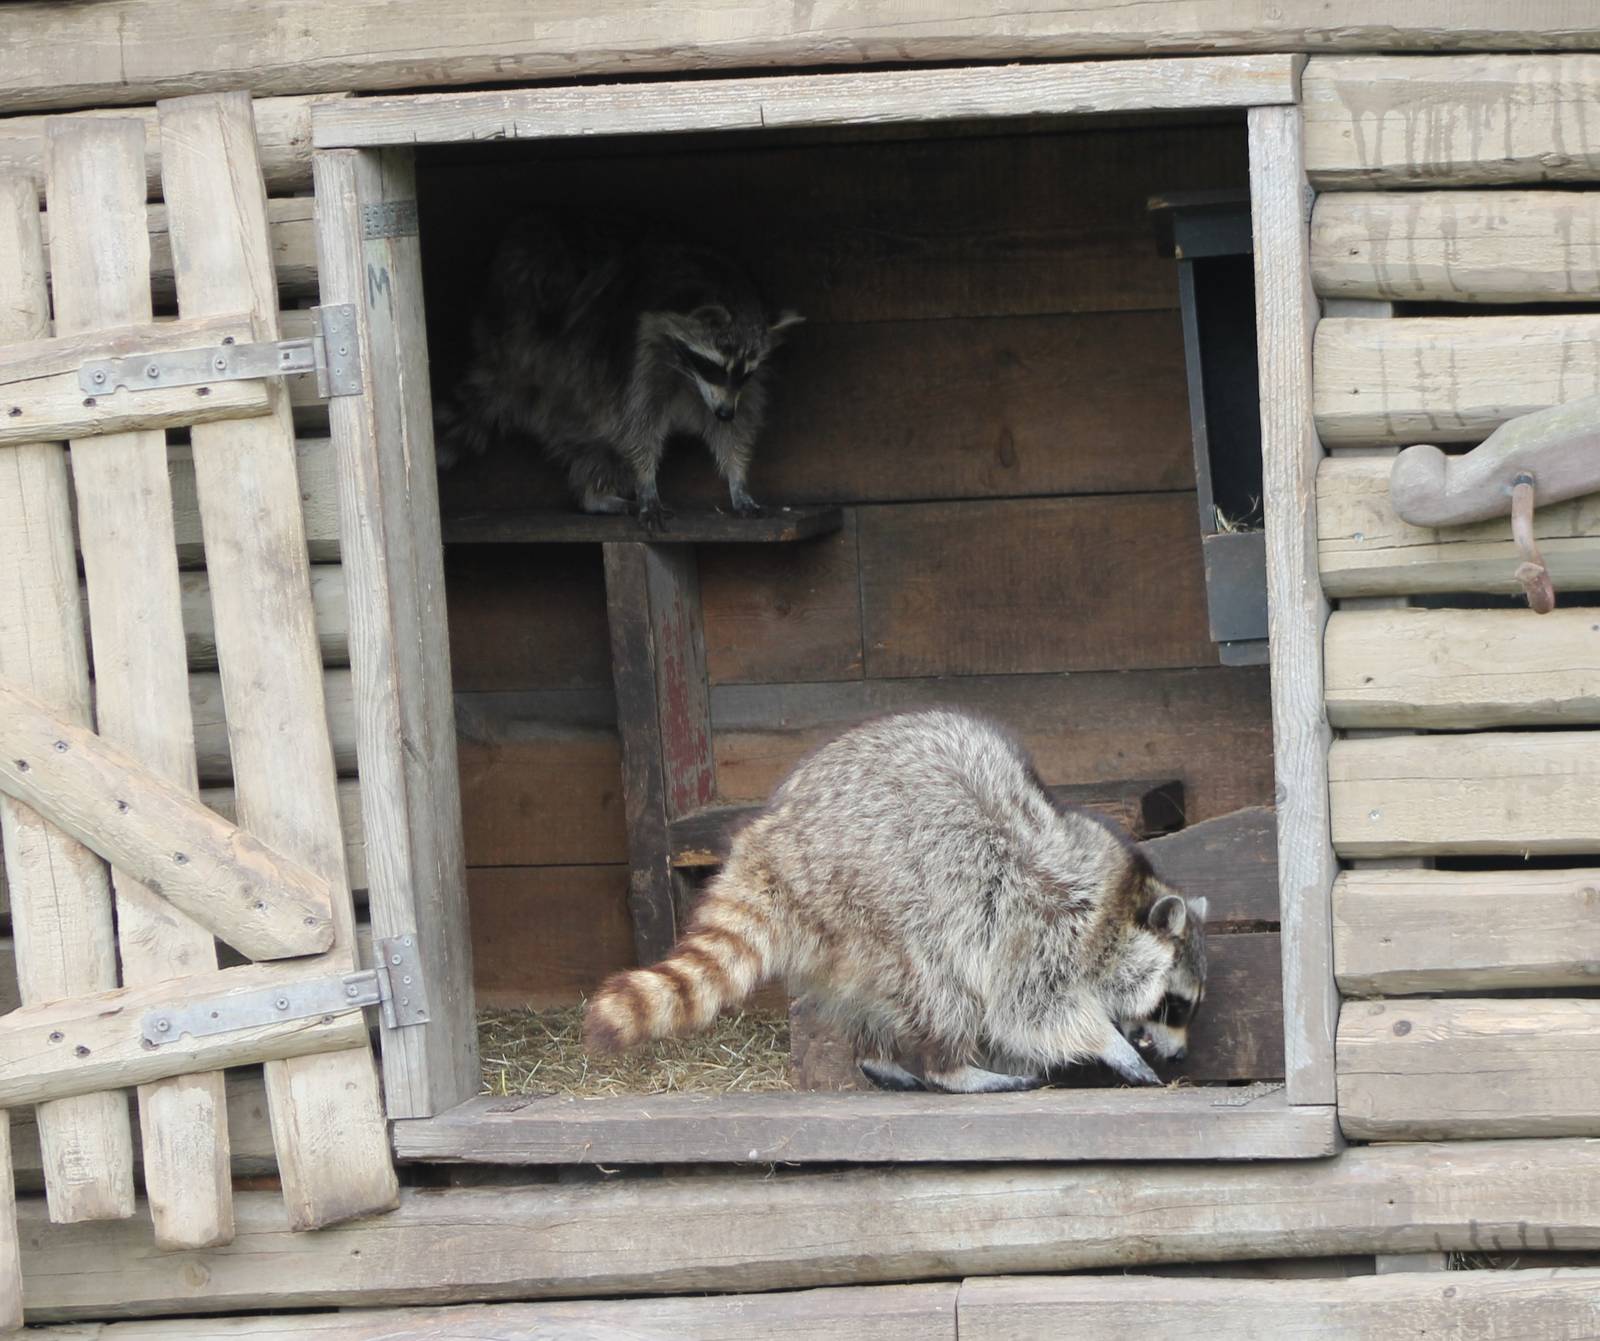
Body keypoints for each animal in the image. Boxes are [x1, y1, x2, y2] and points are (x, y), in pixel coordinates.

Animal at [434, 210, 802, 528]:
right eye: (713, 366)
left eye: (745, 372)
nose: (725, 412)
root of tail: (511, 365)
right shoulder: (639, 351)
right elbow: (639, 424)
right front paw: (647, 483)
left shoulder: (737, 384)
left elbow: (736, 429)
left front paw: (737, 479)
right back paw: (601, 494)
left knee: (596, 450)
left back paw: (593, 496)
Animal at [584, 709, 1208, 1093]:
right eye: (1175, 1005)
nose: (1180, 1056)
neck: (1119, 904)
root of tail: (773, 841)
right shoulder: (1041, 922)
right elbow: (1028, 1010)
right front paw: (1106, 1041)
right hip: (872, 889)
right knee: (940, 985)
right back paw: (952, 1068)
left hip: (843, 928)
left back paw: (878, 1054)